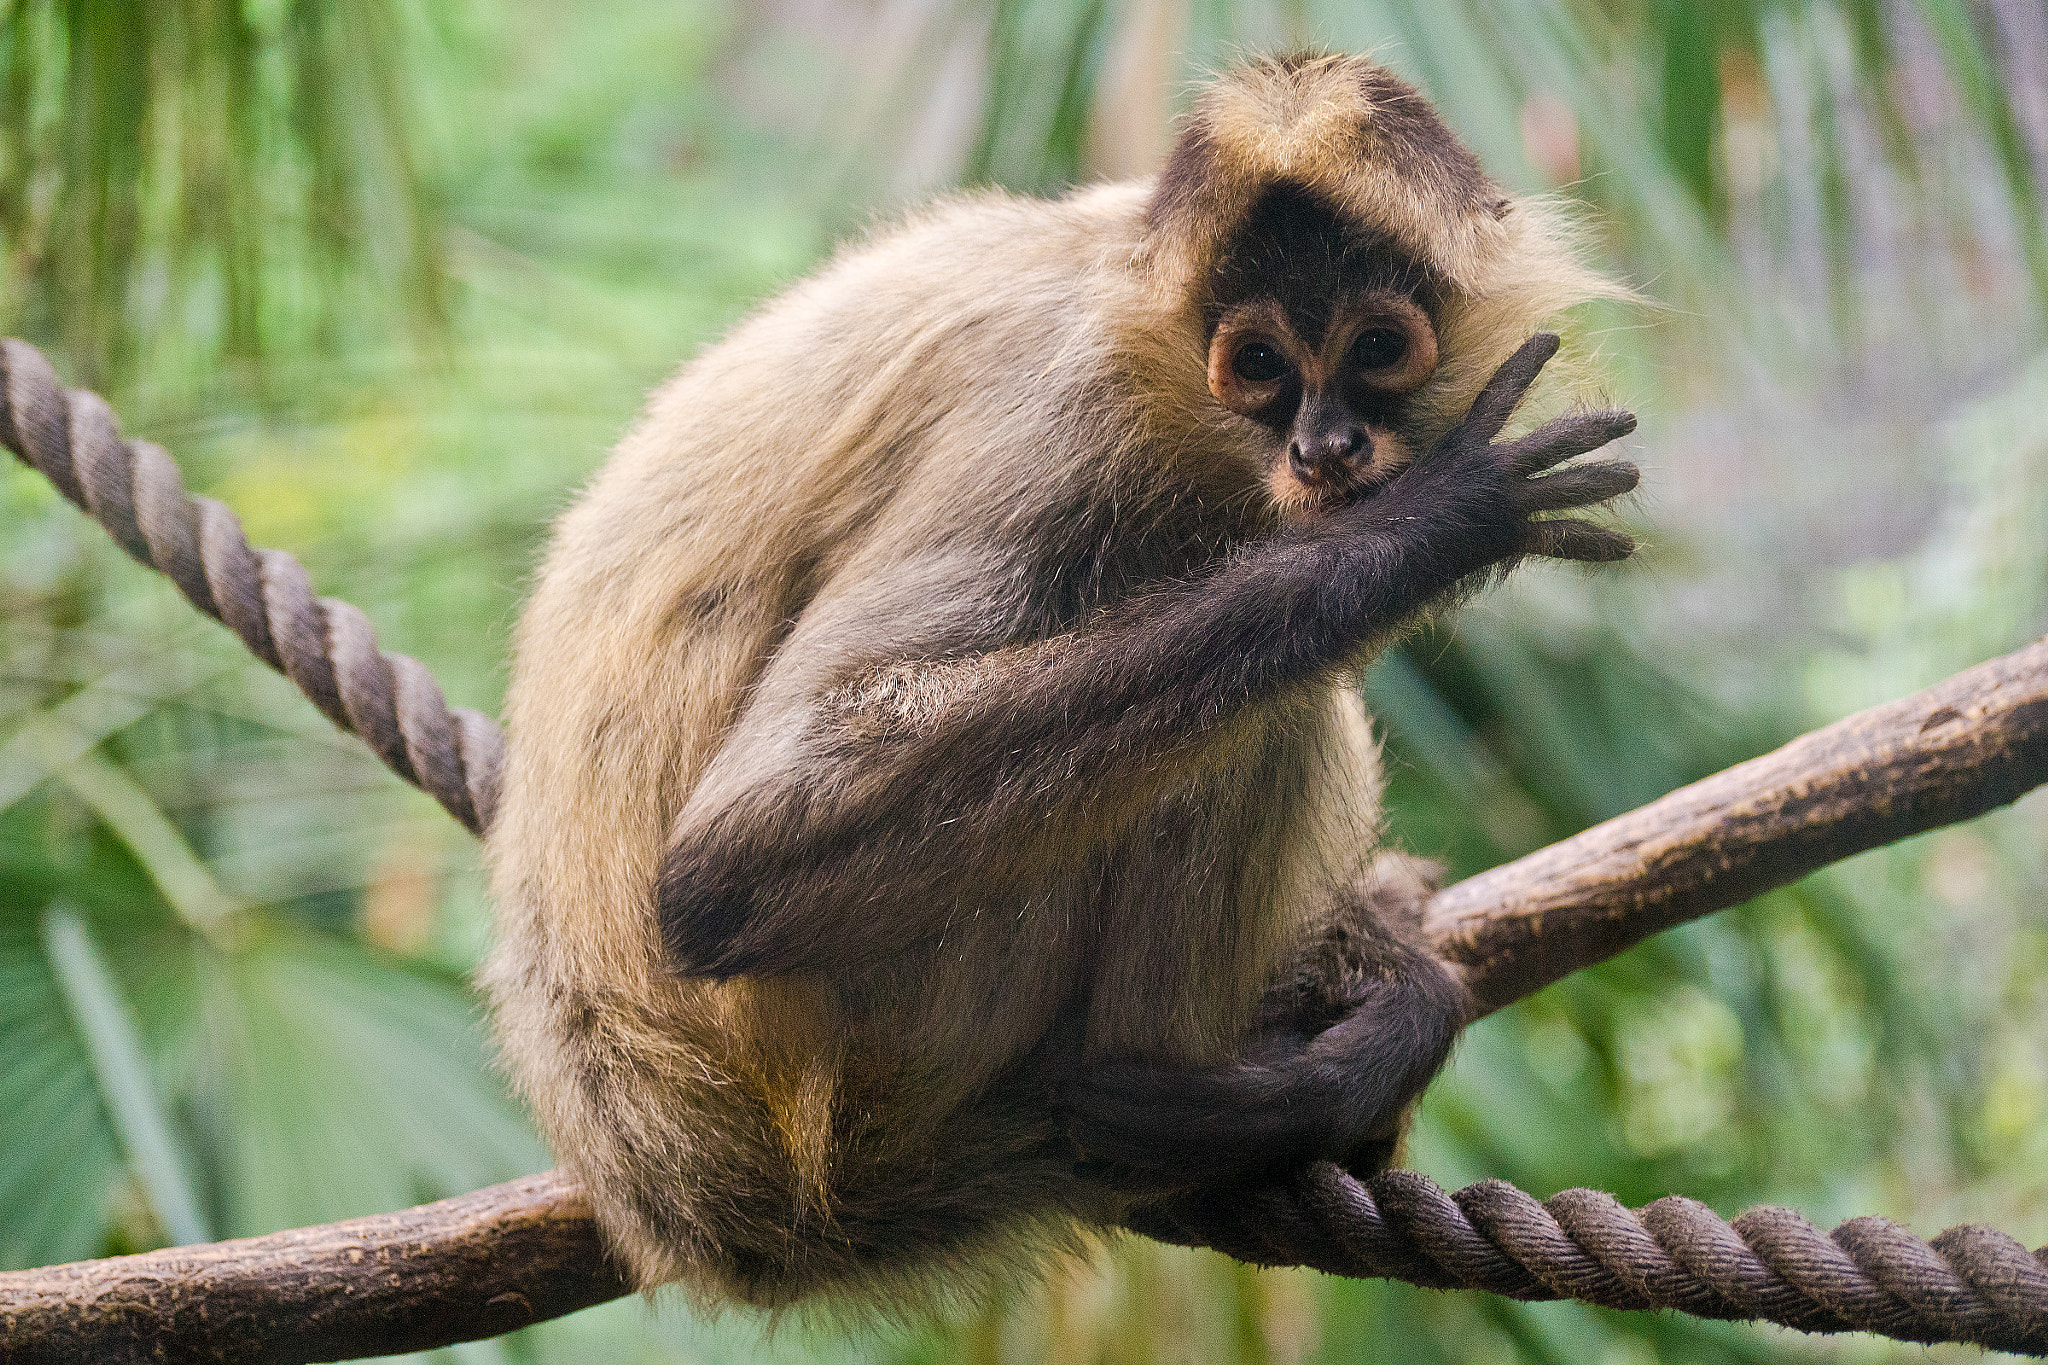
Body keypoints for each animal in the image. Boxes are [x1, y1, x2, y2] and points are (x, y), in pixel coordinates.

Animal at [481, 51, 1638, 1313]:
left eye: (1378, 349)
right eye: (1258, 366)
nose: (1324, 449)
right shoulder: (1060, 417)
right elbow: (727, 869)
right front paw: (1428, 530)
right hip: (897, 1031)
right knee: (1269, 711)